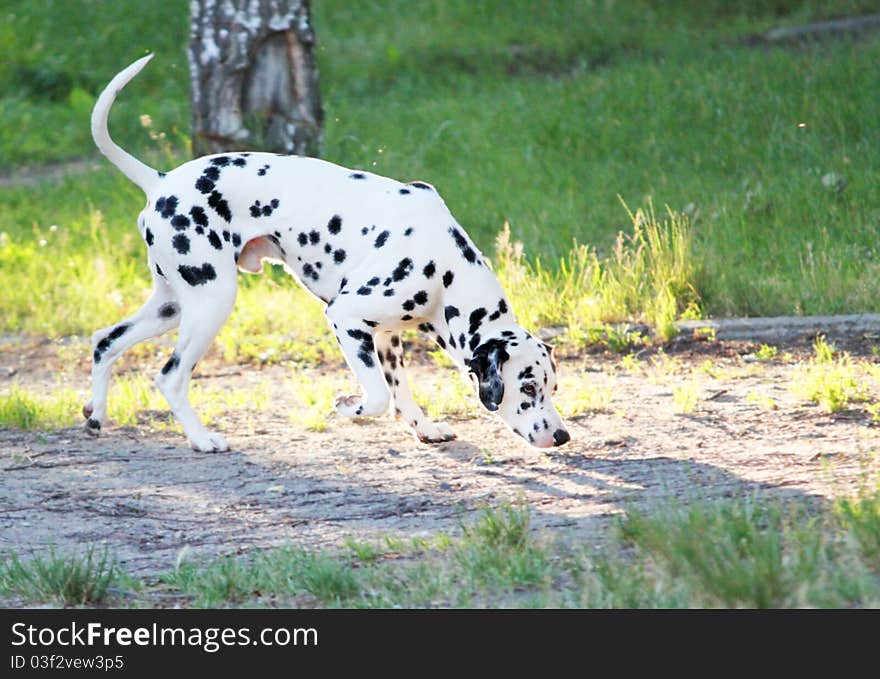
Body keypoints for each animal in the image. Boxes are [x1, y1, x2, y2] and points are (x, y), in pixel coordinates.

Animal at [84, 55, 572, 454]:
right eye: (528, 388)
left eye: (553, 386)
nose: (562, 435)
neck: (445, 270)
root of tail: (161, 181)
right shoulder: (345, 318)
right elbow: (377, 398)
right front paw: (346, 407)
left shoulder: (385, 337)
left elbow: (400, 393)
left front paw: (424, 428)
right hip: (211, 303)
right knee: (169, 375)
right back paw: (202, 439)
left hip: (171, 306)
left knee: (104, 341)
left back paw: (96, 414)